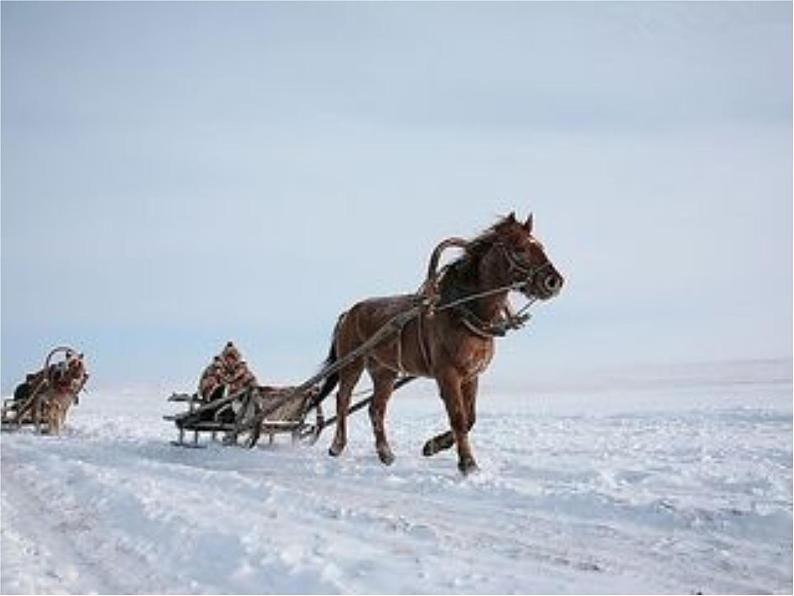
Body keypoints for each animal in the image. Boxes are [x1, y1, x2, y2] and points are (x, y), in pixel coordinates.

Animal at [312, 212, 560, 472]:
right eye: (520, 249)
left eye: (541, 246)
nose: (554, 281)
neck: (463, 311)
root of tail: (348, 313)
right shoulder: (447, 374)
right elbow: (459, 417)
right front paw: (467, 463)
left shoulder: (471, 375)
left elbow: (470, 418)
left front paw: (432, 446)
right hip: (352, 363)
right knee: (343, 399)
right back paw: (337, 446)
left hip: (384, 371)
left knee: (376, 409)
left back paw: (385, 454)